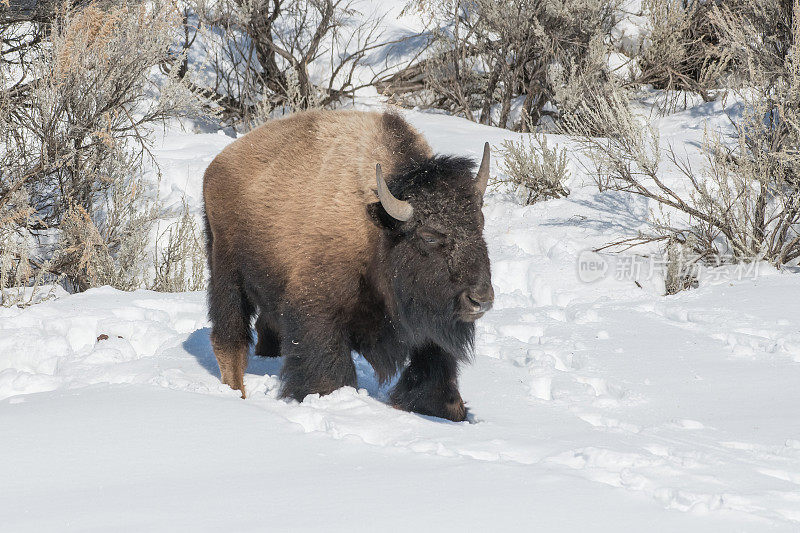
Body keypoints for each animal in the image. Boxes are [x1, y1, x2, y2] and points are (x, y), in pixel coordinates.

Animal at [205, 110, 494, 422]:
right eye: (428, 235)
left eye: (480, 224)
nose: (480, 300)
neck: (378, 229)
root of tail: (217, 166)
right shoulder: (318, 311)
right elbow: (328, 370)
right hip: (226, 272)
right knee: (230, 340)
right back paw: (237, 392)